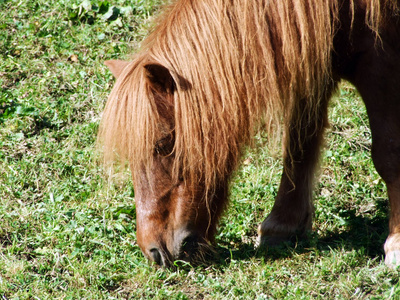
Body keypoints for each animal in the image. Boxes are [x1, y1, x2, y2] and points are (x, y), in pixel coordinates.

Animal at [98, 0, 400, 268]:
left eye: (163, 145)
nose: (153, 252)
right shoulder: (311, 56)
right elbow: (299, 146)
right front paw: (282, 225)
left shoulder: (380, 63)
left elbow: (388, 155)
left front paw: (395, 243)